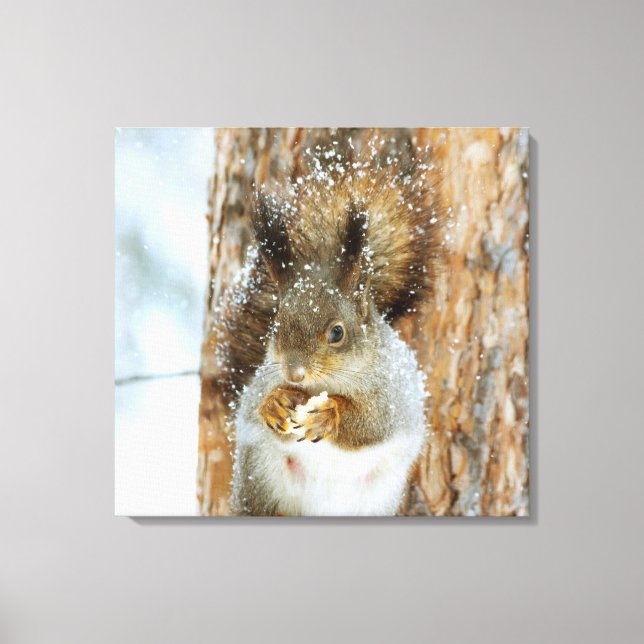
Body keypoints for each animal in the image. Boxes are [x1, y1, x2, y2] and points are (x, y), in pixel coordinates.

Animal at [223, 141, 442, 516]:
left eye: (337, 333)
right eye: (275, 326)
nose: (294, 374)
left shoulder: (395, 393)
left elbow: (374, 422)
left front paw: (330, 414)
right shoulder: (261, 380)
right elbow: (252, 404)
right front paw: (275, 403)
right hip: (260, 478)